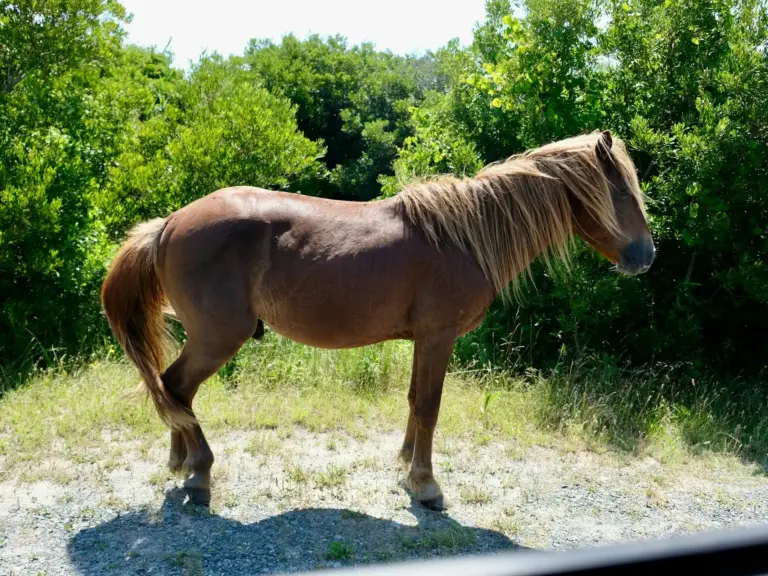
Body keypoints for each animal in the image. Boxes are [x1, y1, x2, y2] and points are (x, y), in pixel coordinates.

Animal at [101, 130, 655, 510]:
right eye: (621, 193)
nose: (646, 256)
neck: (465, 236)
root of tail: (170, 222)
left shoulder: (423, 341)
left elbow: (413, 401)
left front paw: (406, 466)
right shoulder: (438, 337)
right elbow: (429, 407)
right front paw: (427, 486)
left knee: (177, 391)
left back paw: (181, 464)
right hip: (218, 338)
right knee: (176, 386)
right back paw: (199, 474)